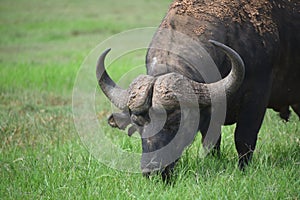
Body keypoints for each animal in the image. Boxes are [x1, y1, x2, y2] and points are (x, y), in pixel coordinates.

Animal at [96, 0, 300, 180]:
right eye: (137, 124)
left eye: (176, 122)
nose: (152, 171)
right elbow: (211, 142)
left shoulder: (256, 98)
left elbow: (243, 139)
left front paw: (243, 169)